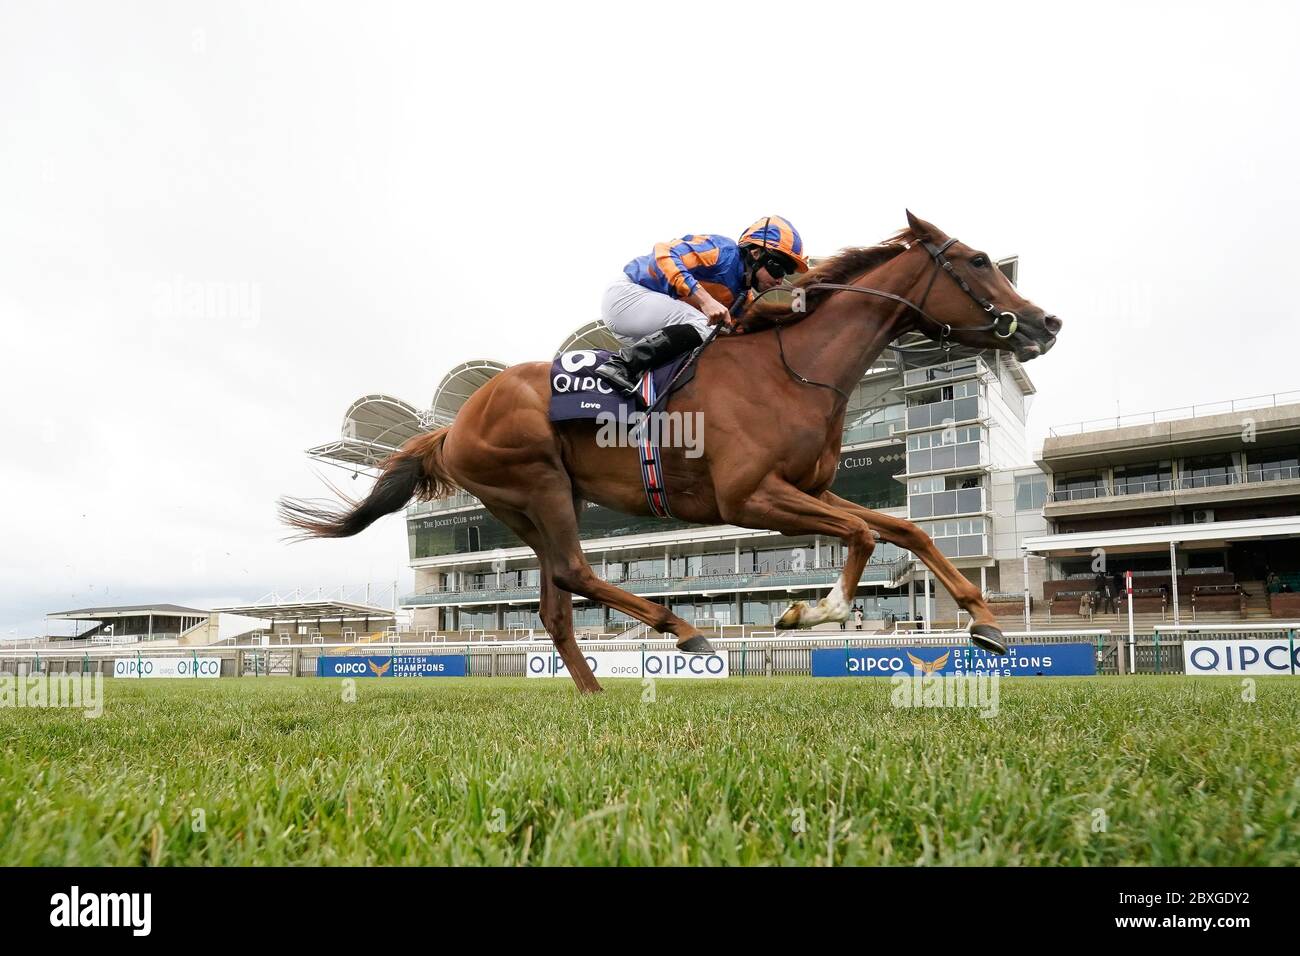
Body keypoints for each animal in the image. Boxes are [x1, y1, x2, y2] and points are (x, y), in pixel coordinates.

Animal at [282, 213, 1055, 691]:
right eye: (977, 260)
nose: (1046, 322)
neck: (792, 366)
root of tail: (454, 422)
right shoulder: (750, 497)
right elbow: (864, 534)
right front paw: (811, 614)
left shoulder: (808, 487)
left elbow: (904, 527)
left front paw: (986, 622)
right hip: (535, 483)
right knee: (574, 573)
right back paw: (683, 630)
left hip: (536, 503)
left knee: (556, 601)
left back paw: (596, 692)